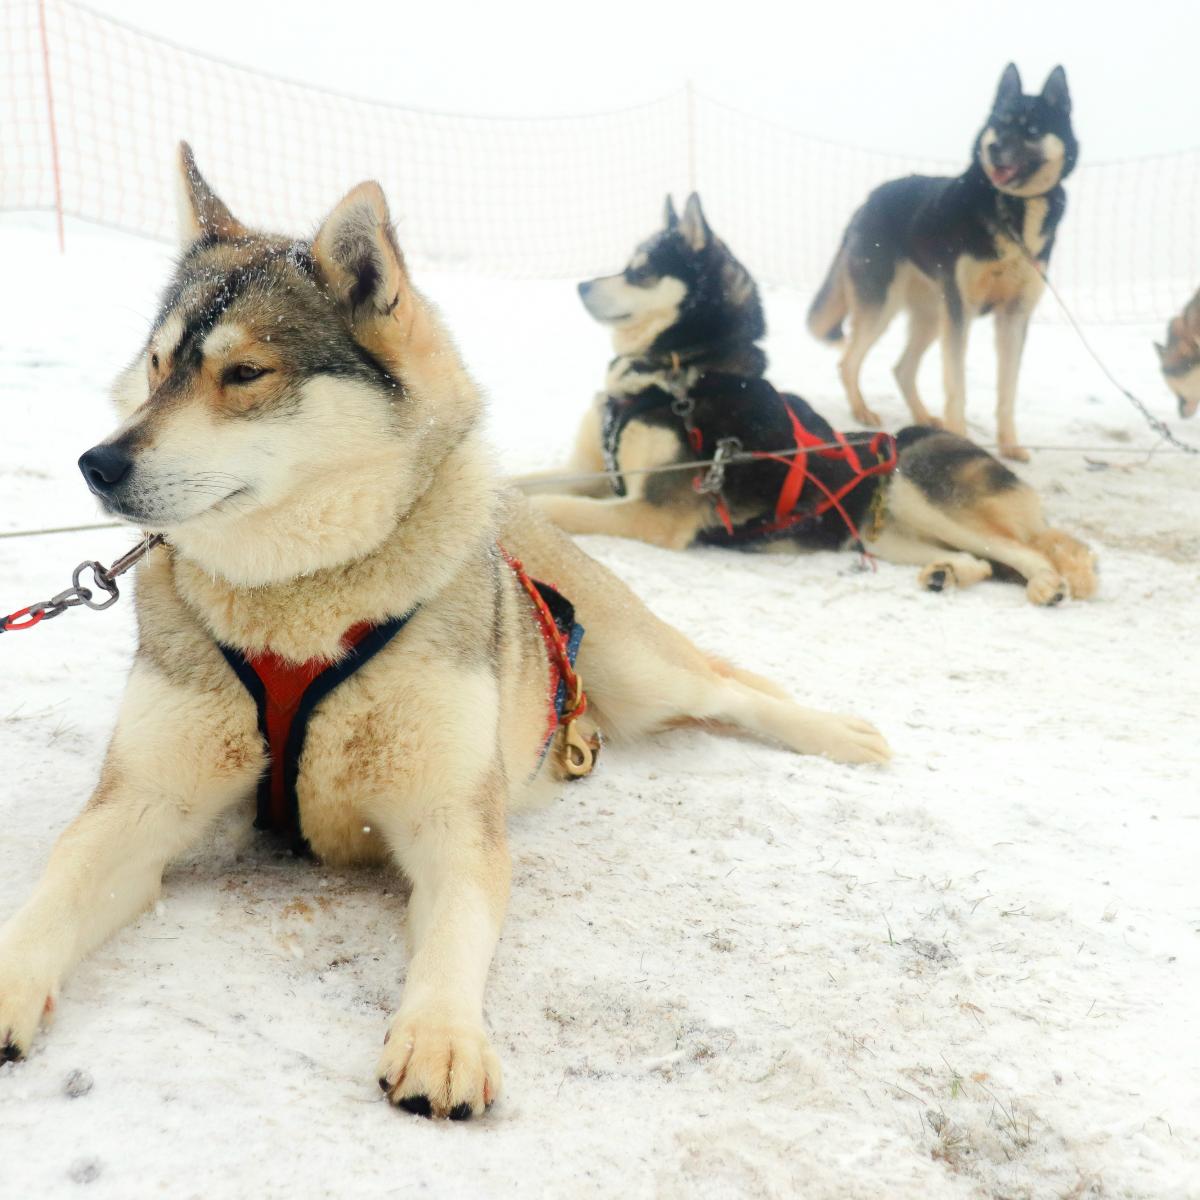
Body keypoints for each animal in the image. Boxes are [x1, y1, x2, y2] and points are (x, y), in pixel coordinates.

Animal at [0, 145, 892, 1118]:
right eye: (158, 366)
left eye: (244, 375)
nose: (98, 463)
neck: (301, 610)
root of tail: (522, 509)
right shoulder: (144, 801)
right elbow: (56, 889)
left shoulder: (450, 817)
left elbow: (458, 925)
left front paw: (442, 1036)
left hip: (645, 670)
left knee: (730, 685)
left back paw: (842, 735)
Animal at [518, 200, 1099, 609]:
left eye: (639, 271)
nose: (582, 285)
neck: (678, 375)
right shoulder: (593, 471)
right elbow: (522, 482)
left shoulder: (651, 511)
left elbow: (554, 508)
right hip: (882, 532)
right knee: (977, 560)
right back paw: (947, 572)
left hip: (914, 482)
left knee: (1026, 551)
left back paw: (1047, 585)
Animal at [806, 63, 1080, 460]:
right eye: (999, 124)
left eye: (1031, 129)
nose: (994, 148)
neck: (1012, 209)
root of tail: (868, 201)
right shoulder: (961, 311)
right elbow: (956, 385)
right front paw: (961, 438)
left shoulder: (1014, 317)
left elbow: (1007, 391)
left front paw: (1009, 445)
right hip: (886, 307)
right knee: (848, 362)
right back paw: (861, 410)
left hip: (933, 314)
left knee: (902, 369)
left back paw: (922, 418)